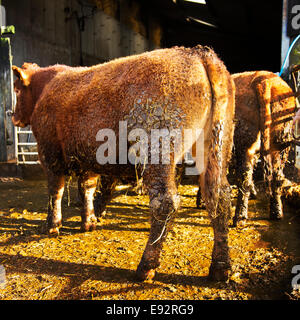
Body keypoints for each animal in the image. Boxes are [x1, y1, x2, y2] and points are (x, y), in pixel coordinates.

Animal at [11, 46, 236, 282]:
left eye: (16, 90)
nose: (14, 117)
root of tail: (199, 53)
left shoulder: (49, 152)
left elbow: (56, 191)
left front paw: (52, 225)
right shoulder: (88, 157)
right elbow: (87, 188)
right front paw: (89, 222)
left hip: (158, 148)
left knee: (165, 203)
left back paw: (146, 266)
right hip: (217, 145)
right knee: (220, 197)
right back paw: (220, 267)